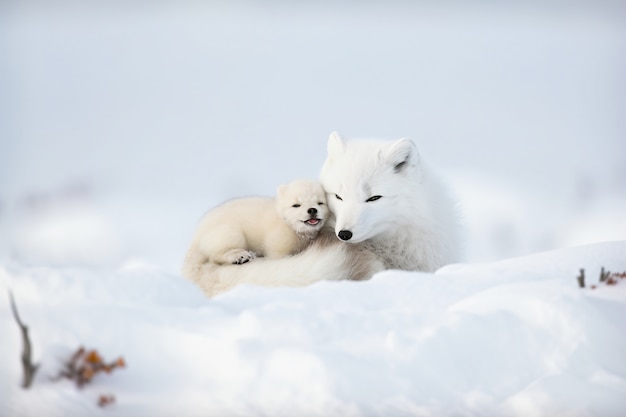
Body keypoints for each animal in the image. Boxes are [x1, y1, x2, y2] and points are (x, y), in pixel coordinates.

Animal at [183, 180, 330, 266]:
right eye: (296, 205)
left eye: (320, 202)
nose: (312, 210)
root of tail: (196, 234)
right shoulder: (279, 236)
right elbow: (278, 254)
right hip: (226, 229)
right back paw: (240, 256)